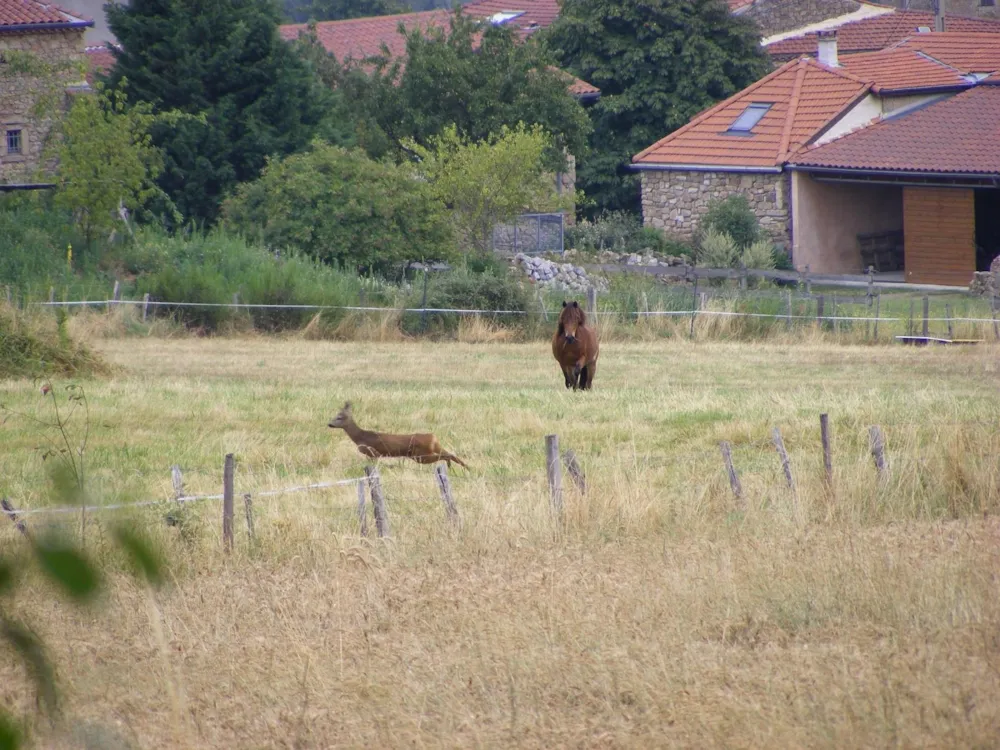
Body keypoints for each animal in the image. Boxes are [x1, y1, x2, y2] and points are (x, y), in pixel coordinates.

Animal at [326, 406, 470, 470]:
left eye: (339, 417)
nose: (329, 424)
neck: (360, 437)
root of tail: (433, 437)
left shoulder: (373, 452)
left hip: (420, 455)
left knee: (447, 455)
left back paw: (452, 467)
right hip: (431, 450)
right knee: (452, 454)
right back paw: (466, 468)